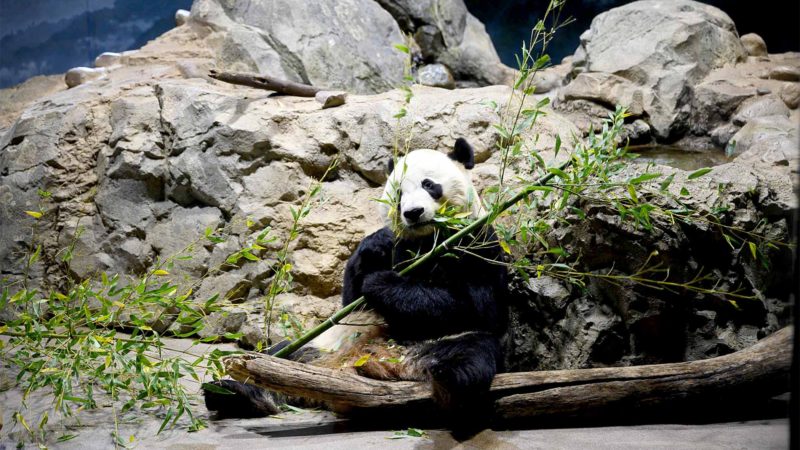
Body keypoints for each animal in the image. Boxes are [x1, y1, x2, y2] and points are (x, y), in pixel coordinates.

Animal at [206, 137, 506, 428]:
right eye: (399, 194)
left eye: (429, 184)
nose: (413, 212)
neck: (427, 238)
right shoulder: (395, 250)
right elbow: (351, 300)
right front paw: (375, 246)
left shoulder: (477, 240)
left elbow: (472, 306)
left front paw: (381, 284)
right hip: (319, 345)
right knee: (274, 359)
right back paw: (231, 392)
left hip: (442, 342)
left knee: (469, 358)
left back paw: (448, 380)